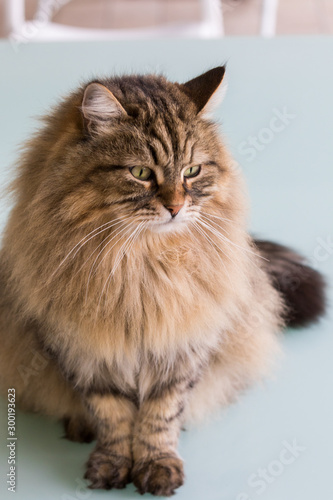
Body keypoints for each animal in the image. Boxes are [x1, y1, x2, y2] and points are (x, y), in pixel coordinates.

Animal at [0, 67, 322, 496]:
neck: (142, 264)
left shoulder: (182, 347)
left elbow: (160, 417)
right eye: (140, 173)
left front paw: (156, 465)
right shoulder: (82, 348)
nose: (176, 207)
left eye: (192, 171)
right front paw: (112, 463)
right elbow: (111, 415)